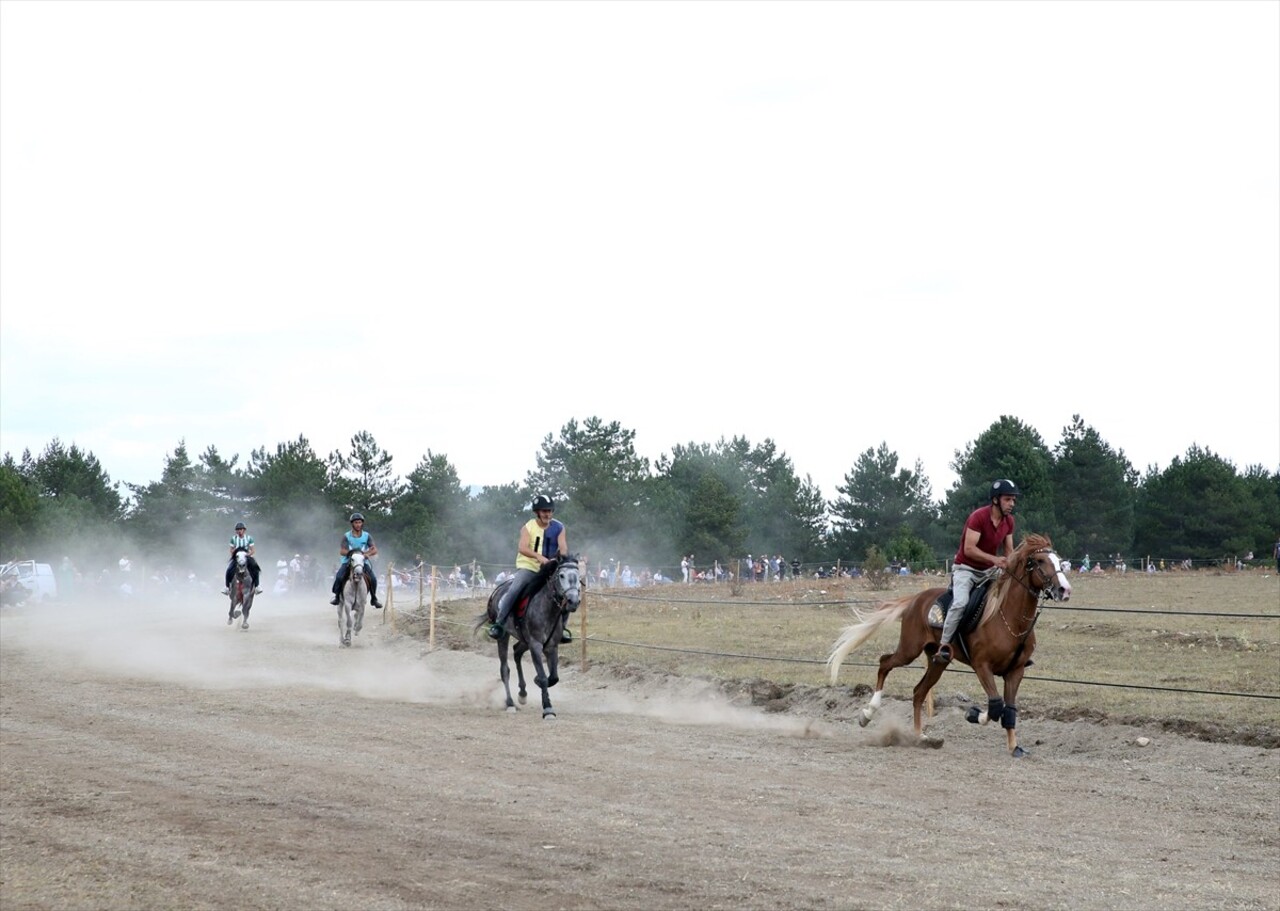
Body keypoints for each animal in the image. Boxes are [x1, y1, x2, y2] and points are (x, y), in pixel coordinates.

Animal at [476, 555, 586, 716]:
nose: (573, 601)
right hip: (504, 636)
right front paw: (547, 708)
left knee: (516, 652)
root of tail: (498, 590)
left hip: (524, 640)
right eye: (561, 575)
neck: (547, 609)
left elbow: (553, 677)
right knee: (505, 669)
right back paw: (510, 703)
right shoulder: (535, 645)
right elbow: (543, 676)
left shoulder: (551, 646)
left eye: (578, 576)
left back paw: (522, 694)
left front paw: (537, 682)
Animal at [829, 534, 1070, 752]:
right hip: (909, 649)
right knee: (884, 663)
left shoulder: (1016, 671)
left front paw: (1015, 747)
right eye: (1040, 561)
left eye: (1059, 561)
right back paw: (867, 714)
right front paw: (973, 714)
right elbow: (995, 706)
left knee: (918, 692)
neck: (1009, 619)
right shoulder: (982, 666)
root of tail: (915, 600)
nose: (1064, 590)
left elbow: (1008, 708)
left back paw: (921, 737)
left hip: (938, 661)